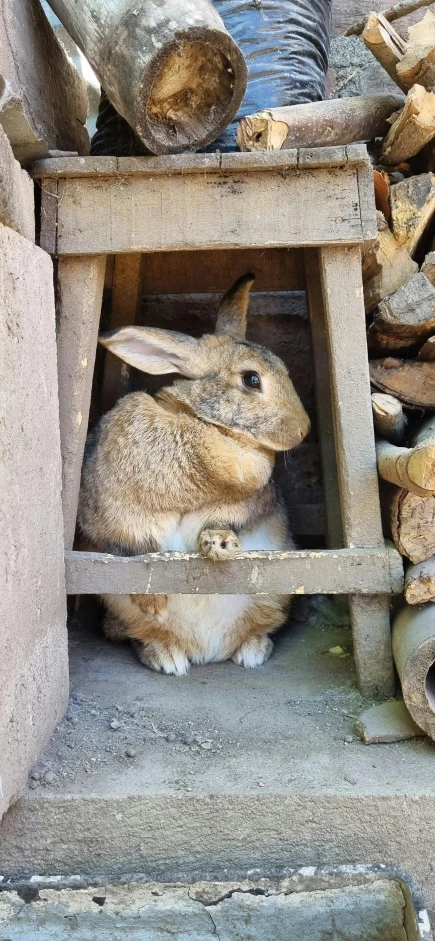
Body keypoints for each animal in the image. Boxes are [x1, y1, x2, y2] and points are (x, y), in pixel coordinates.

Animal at [78, 274, 310, 676]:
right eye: (252, 380)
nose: (303, 429)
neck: (206, 427)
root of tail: (207, 649)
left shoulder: (249, 507)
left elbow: (226, 523)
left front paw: (219, 544)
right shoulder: (110, 519)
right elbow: (132, 553)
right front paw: (153, 600)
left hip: (272, 595)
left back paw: (252, 650)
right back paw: (167, 657)